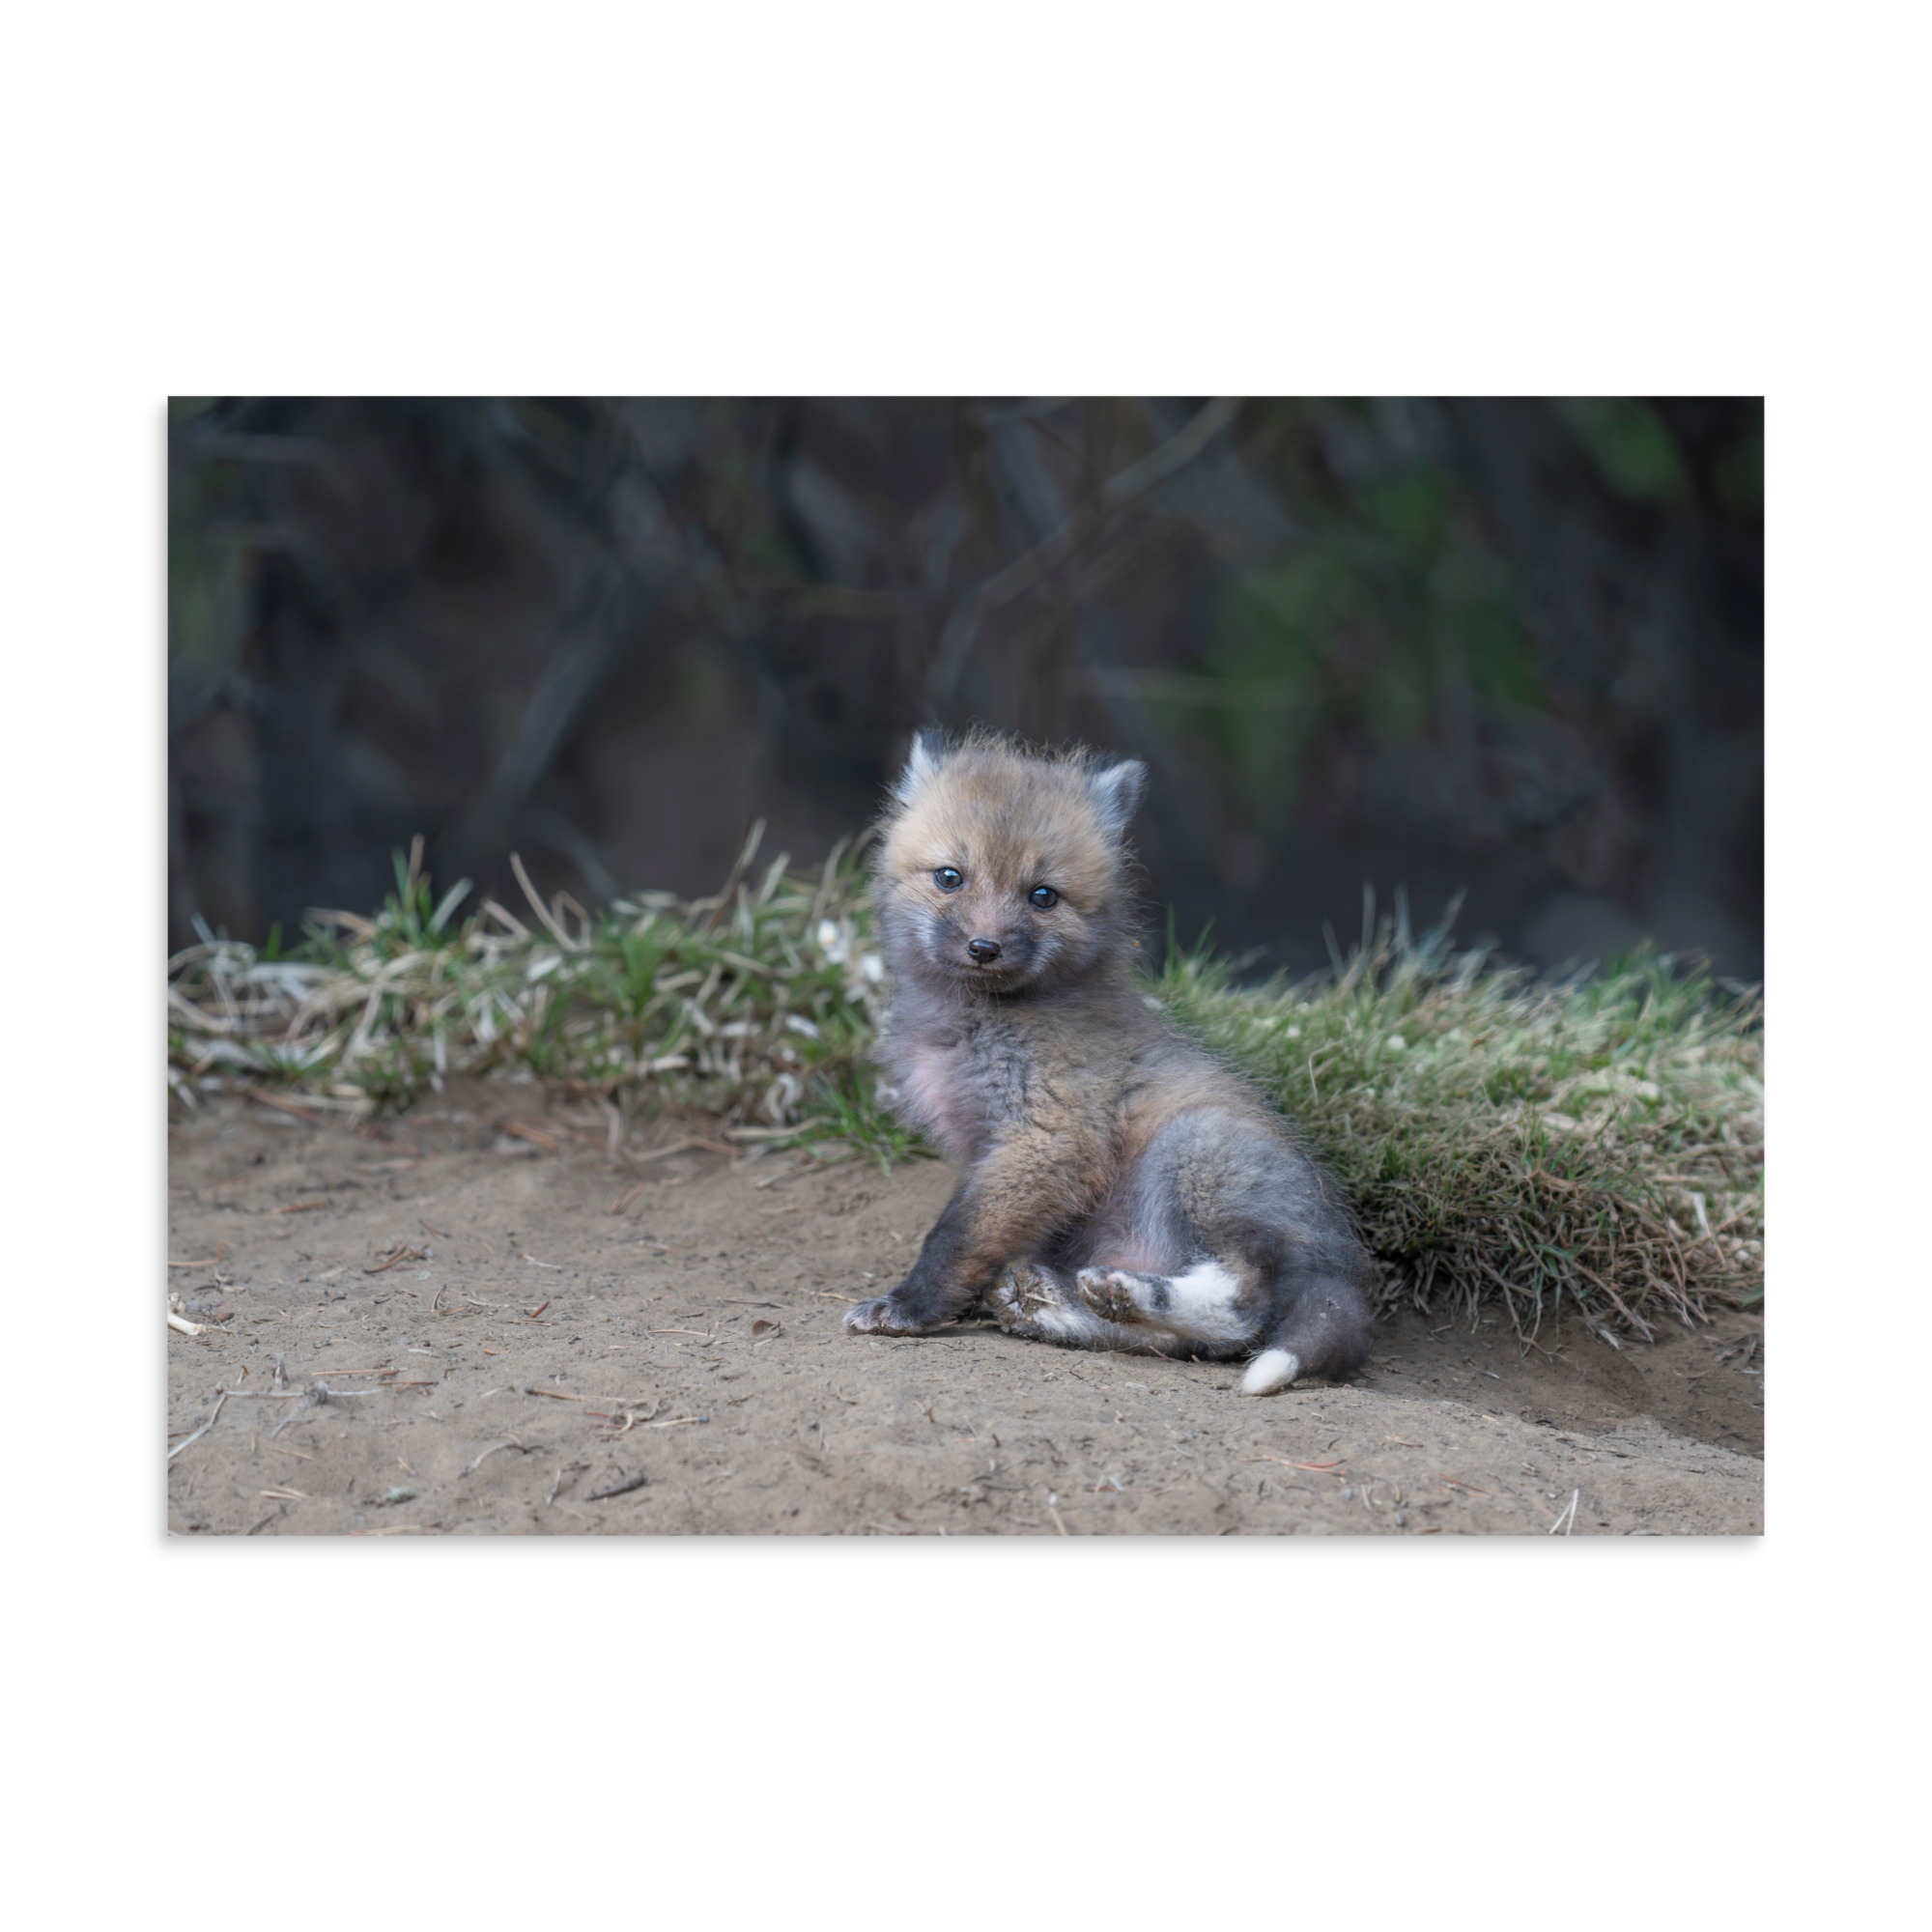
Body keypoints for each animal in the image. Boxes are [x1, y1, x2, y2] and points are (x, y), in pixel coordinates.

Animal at [843, 730, 1377, 1393]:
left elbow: (956, 1236)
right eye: (949, 877)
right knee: (1183, 1344)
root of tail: (1342, 1267)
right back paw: (1056, 1307)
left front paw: (910, 1306)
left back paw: (1124, 1293)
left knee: (1243, 1309)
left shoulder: (1049, 1136)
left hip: (1194, 1149)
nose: (984, 947)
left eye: (1043, 896)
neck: (975, 1023)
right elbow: (980, 1236)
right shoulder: (991, 1150)